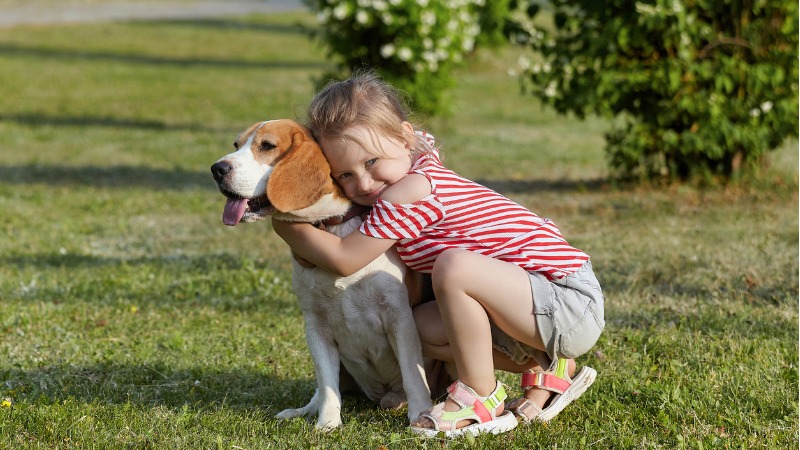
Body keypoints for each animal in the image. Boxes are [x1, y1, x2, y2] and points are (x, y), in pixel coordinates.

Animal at [206, 118, 432, 428]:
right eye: (236, 144)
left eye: (267, 146)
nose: (217, 169)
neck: (331, 227)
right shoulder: (315, 325)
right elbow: (327, 384)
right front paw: (327, 423)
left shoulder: (400, 318)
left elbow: (413, 373)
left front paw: (421, 414)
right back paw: (303, 411)